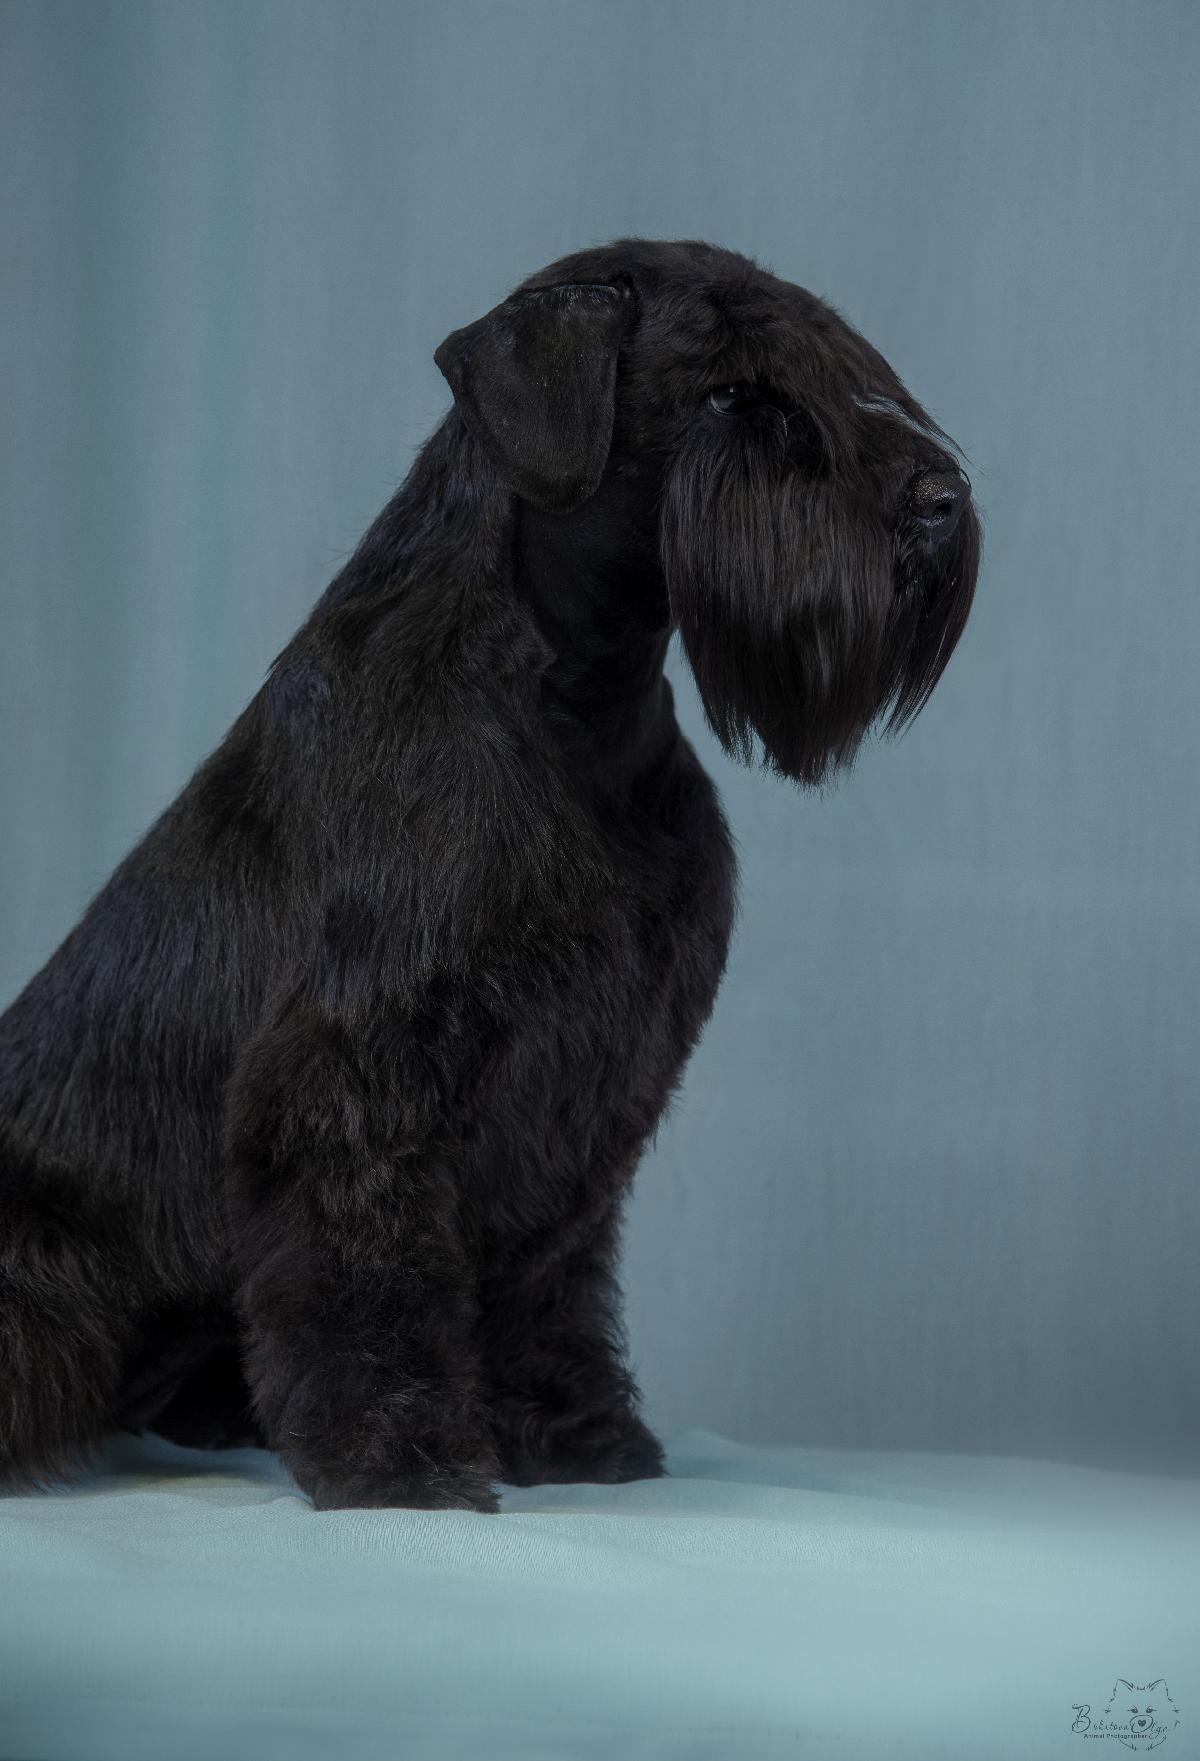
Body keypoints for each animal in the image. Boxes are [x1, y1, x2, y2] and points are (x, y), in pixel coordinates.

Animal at [0, 239, 980, 1509]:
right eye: (730, 393)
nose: (938, 501)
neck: (580, 699)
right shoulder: (361, 1064)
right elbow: (372, 1265)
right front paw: (400, 1456)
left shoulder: (592, 1074)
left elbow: (546, 1269)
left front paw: (574, 1432)